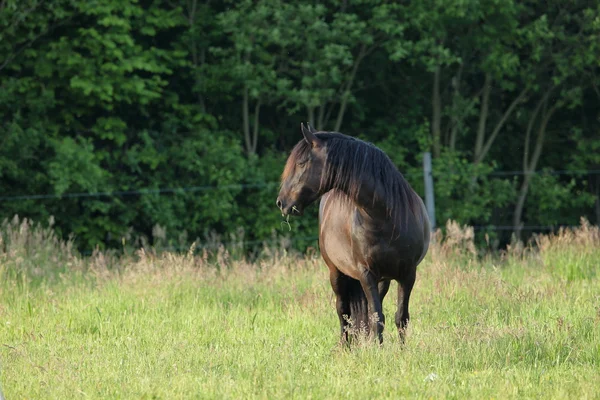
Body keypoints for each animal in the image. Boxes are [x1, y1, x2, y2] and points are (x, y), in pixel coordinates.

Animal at [276, 122, 432, 344]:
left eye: (302, 163)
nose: (282, 202)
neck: (386, 218)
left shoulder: (408, 274)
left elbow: (400, 317)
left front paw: (401, 350)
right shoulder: (366, 274)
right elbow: (376, 318)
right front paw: (378, 350)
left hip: (383, 279)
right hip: (336, 274)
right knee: (343, 312)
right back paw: (346, 346)